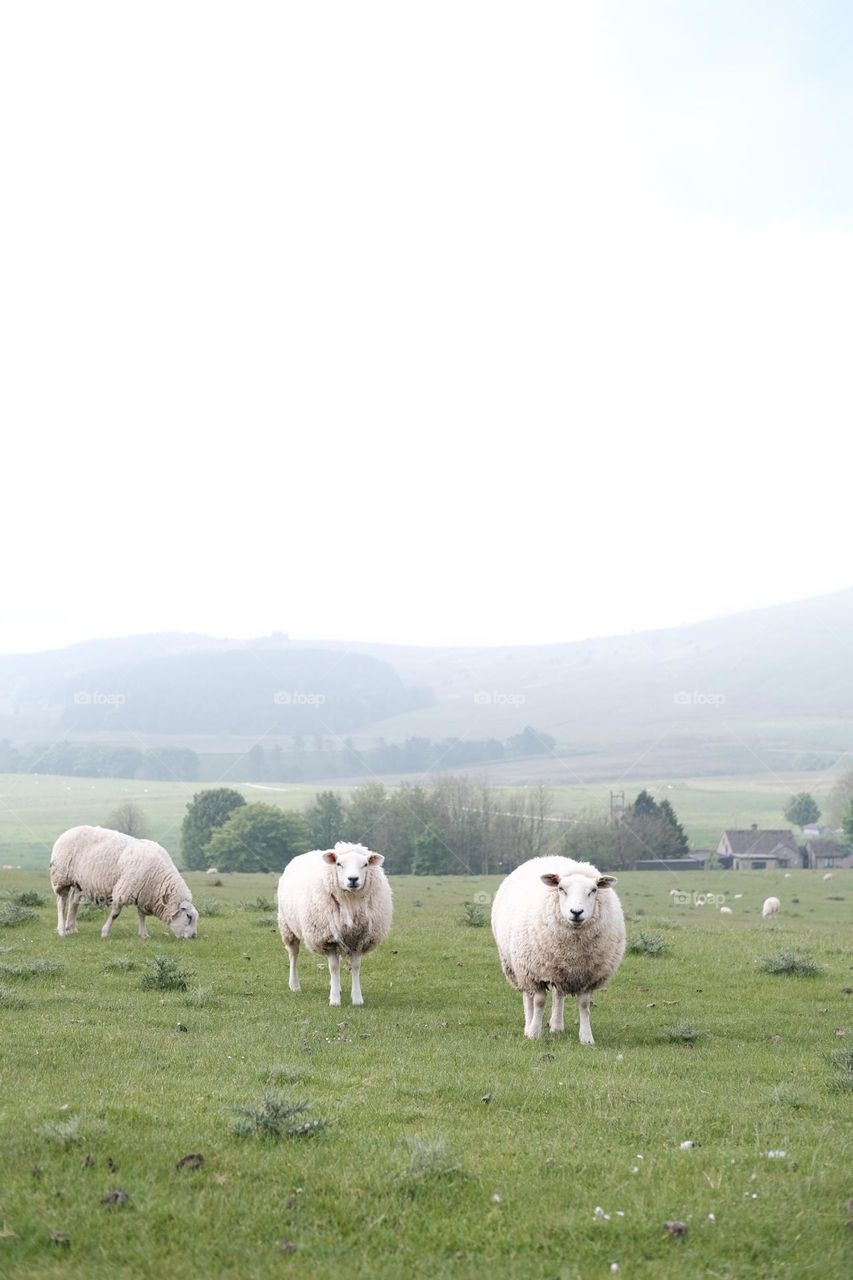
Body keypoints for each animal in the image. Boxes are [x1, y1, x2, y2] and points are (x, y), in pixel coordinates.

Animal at [49, 825, 198, 940]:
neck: (159, 879)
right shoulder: (124, 890)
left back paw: (71, 928)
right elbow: (115, 913)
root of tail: (67, 832)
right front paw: (105, 932)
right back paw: (62, 930)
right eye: (189, 917)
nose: (193, 937)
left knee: (73, 903)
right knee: (61, 903)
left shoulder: (143, 893)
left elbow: (141, 915)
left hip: (78, 882)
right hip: (61, 877)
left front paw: (143, 934)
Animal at [277, 842, 392, 1006]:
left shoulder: (358, 939)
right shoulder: (328, 939)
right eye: (339, 864)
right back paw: (294, 985)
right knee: (293, 955)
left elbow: (355, 967)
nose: (353, 879)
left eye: (365, 864)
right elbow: (334, 967)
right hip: (287, 927)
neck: (350, 902)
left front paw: (357, 998)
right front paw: (335, 1000)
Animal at [491, 856, 626, 1044]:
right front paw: (534, 1033)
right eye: (561, 889)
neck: (574, 950)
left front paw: (586, 1038)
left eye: (593, 890)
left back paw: (556, 1026)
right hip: (518, 967)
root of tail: (546, 856)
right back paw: (528, 1025)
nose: (576, 912)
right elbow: (539, 1001)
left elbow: (584, 1005)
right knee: (528, 996)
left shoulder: (588, 975)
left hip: (558, 966)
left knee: (558, 994)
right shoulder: (535, 972)